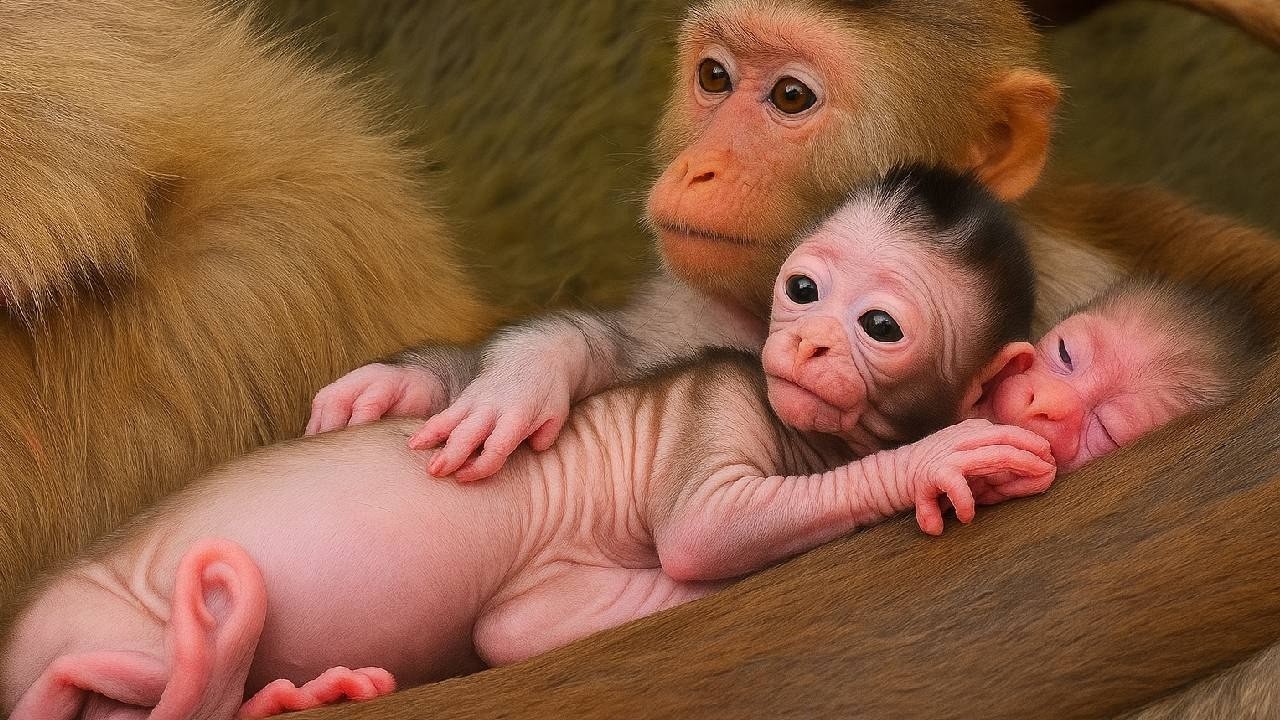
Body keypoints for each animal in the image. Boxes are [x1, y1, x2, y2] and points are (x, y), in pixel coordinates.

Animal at [3, 166, 1058, 719]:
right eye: (802, 289)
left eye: (879, 325)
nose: (806, 342)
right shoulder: (721, 397)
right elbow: (701, 534)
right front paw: (935, 460)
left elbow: (518, 625)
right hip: (108, 616)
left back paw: (293, 693)